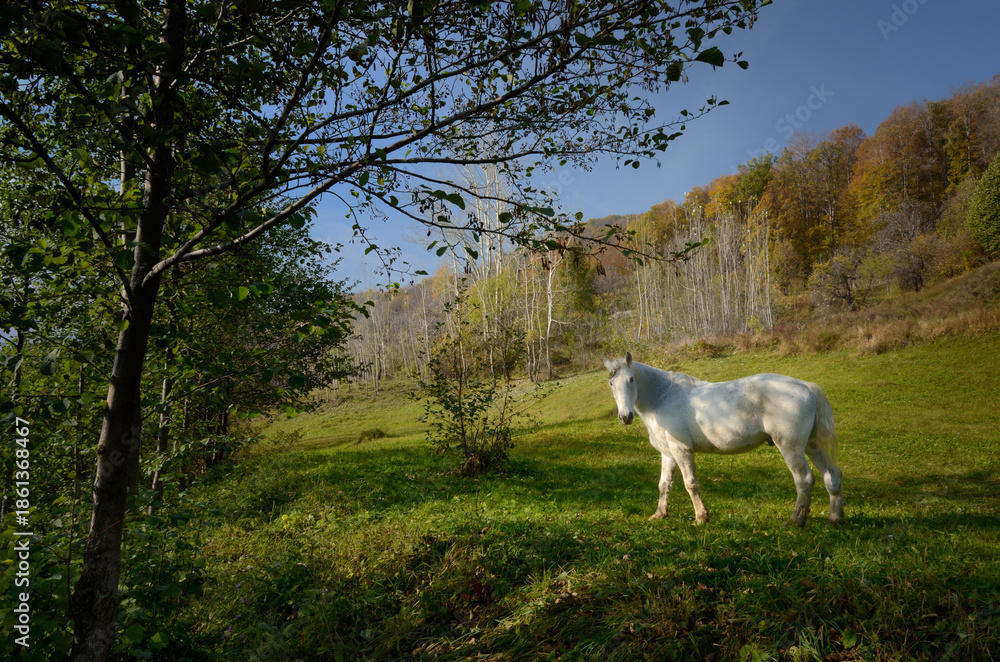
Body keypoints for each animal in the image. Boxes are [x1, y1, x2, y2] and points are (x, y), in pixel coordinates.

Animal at [603, 352, 843, 527]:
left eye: (631, 379)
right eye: (611, 384)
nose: (625, 417)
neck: (663, 397)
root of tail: (805, 386)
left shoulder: (682, 450)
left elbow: (690, 483)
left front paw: (701, 517)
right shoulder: (668, 454)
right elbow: (664, 485)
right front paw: (660, 514)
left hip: (791, 448)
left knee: (804, 480)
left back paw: (795, 521)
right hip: (812, 446)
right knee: (832, 476)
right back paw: (835, 518)